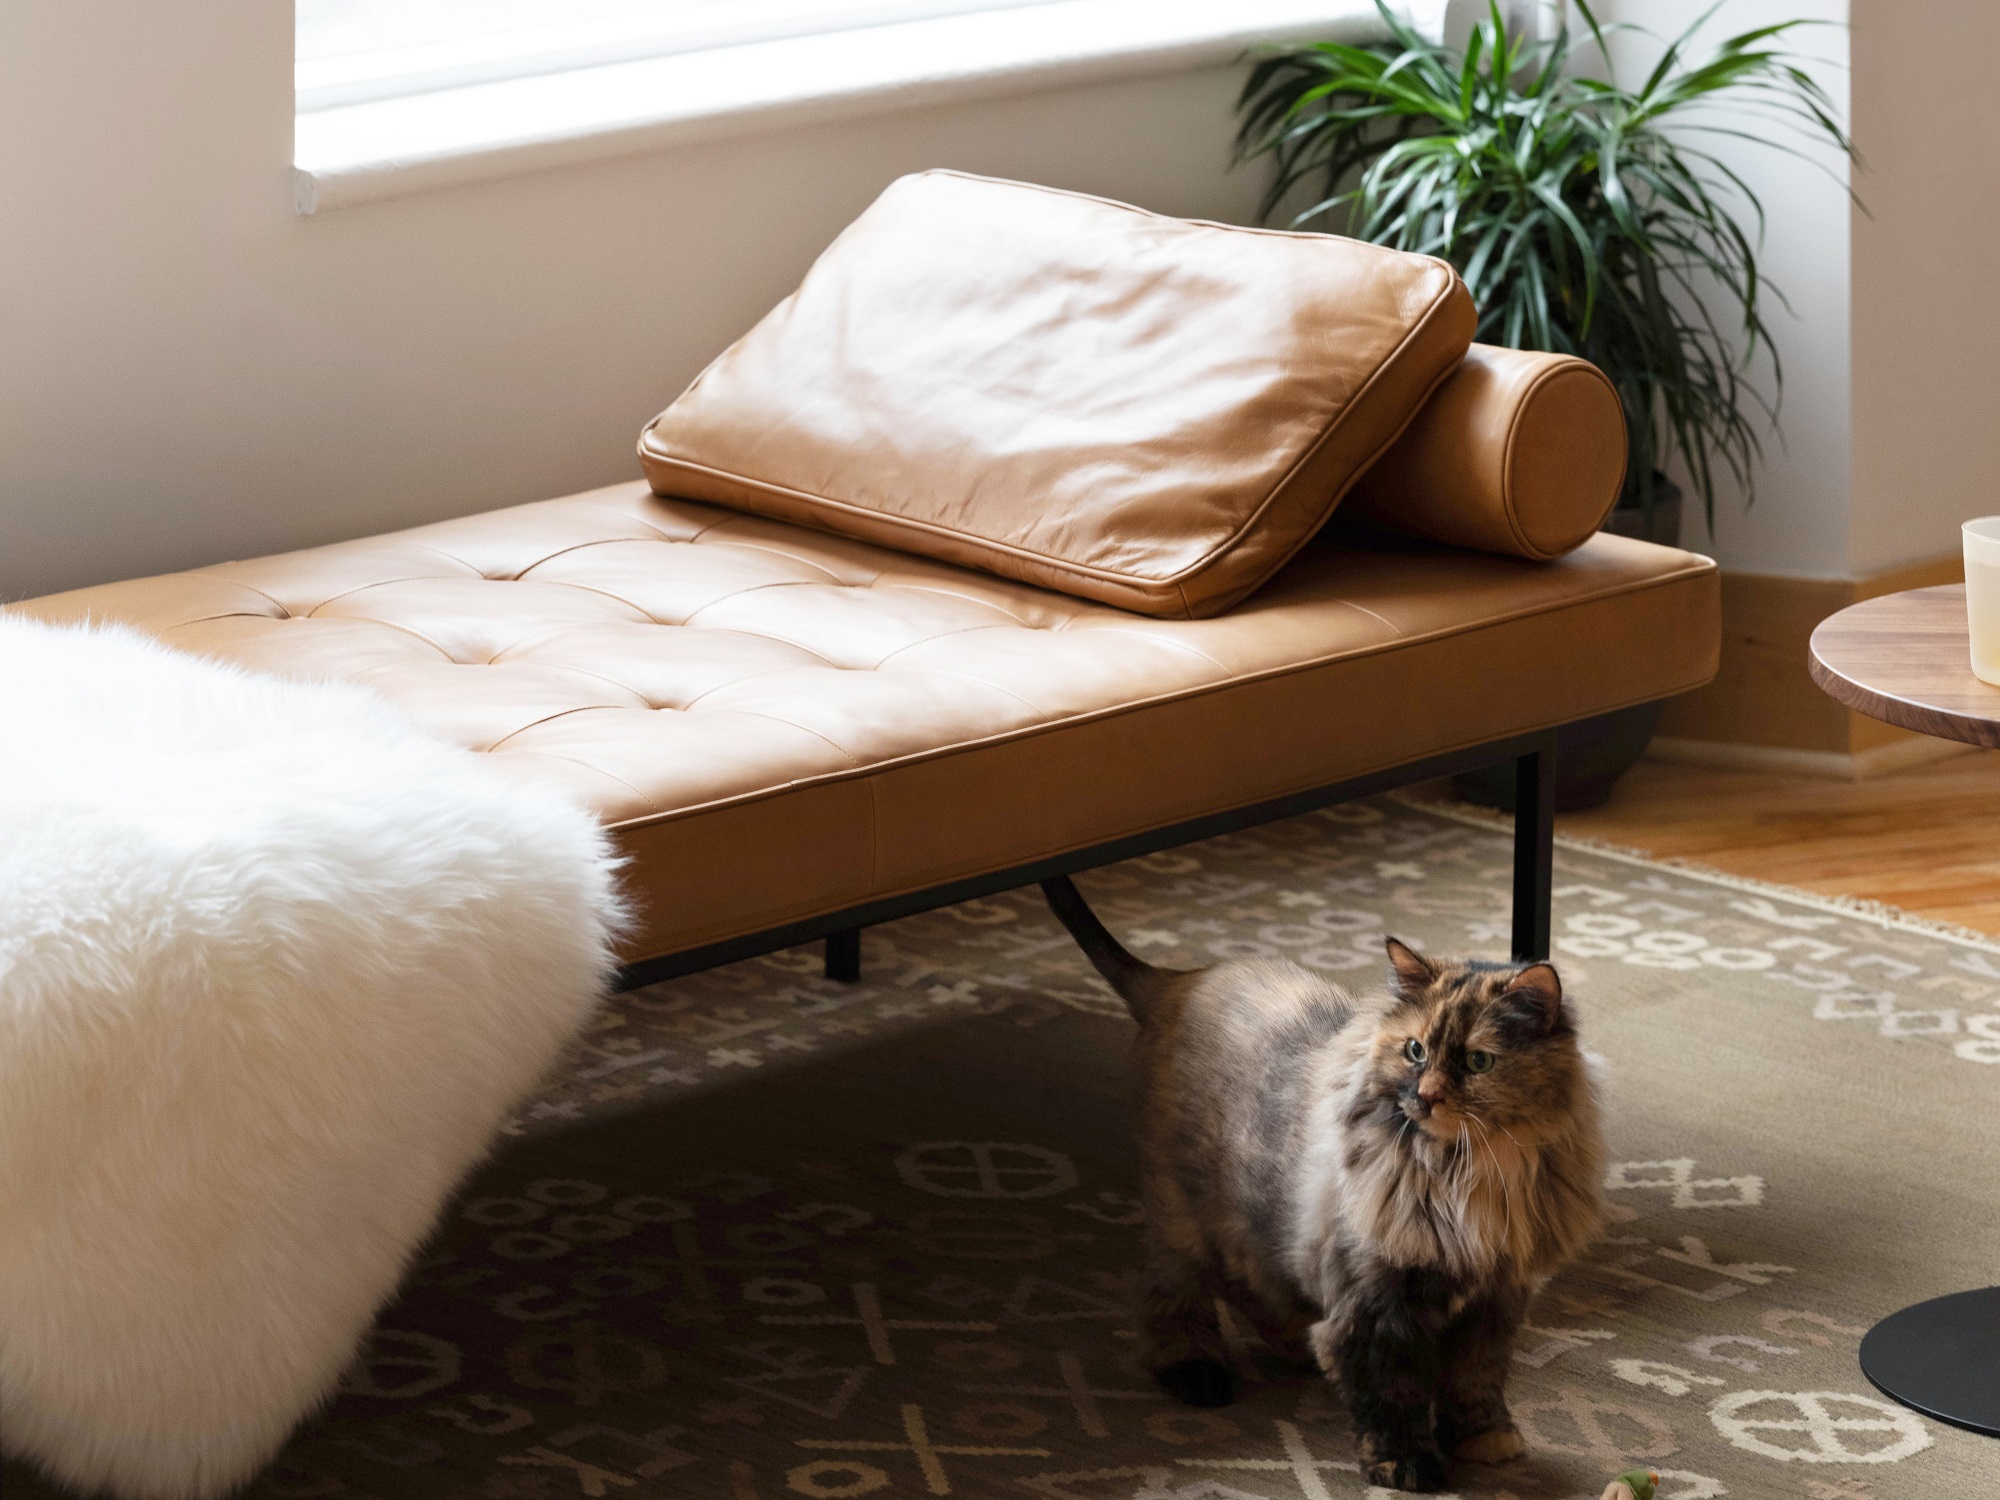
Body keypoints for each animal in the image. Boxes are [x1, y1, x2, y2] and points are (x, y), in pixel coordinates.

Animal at [1040, 876, 1600, 1496]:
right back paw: (1200, 1374)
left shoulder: (1494, 1298)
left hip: (1260, 1226)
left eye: (1478, 1062)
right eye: (1416, 1051)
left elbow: (1475, 1379)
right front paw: (1406, 1466)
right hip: (1185, 1215)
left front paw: (1484, 1438)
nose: (1426, 1097)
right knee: (1171, 1296)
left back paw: (1300, 1346)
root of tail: (1176, 979)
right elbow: (1394, 1395)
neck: (1466, 1175)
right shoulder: (1379, 1303)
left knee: (1247, 1286)